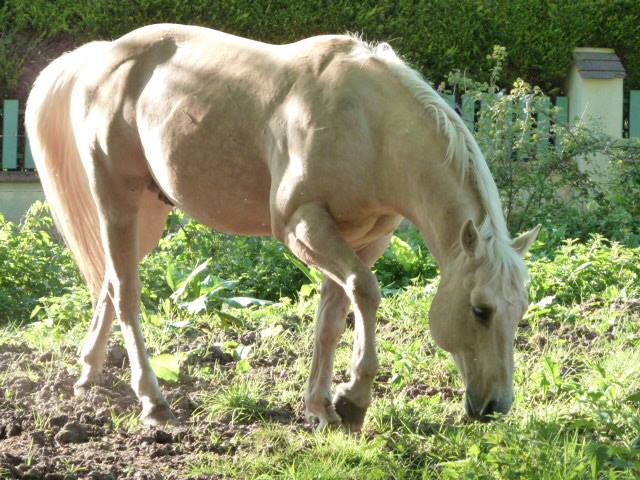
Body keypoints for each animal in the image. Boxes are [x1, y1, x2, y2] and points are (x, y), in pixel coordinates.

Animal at [25, 23, 536, 432]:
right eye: (481, 310)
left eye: (520, 311)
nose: (495, 407)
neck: (372, 128)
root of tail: (103, 56)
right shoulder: (302, 226)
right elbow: (366, 292)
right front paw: (353, 400)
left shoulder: (364, 239)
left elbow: (332, 318)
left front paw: (322, 407)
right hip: (118, 202)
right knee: (128, 294)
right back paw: (152, 402)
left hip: (148, 216)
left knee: (109, 285)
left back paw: (88, 375)